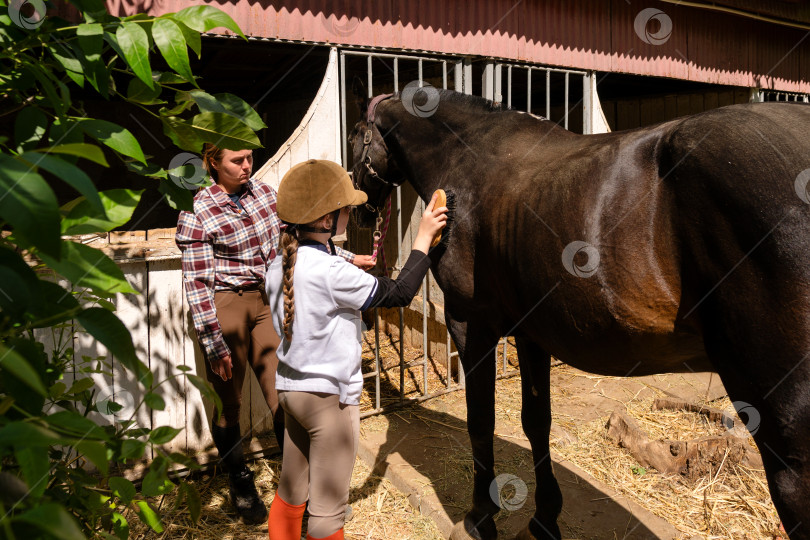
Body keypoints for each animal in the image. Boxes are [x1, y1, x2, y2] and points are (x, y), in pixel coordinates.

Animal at [350, 81, 808, 540]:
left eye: (355, 139)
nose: (357, 212)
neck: (467, 157)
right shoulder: (530, 333)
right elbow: (536, 421)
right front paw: (544, 518)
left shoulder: (470, 322)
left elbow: (480, 420)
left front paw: (480, 517)